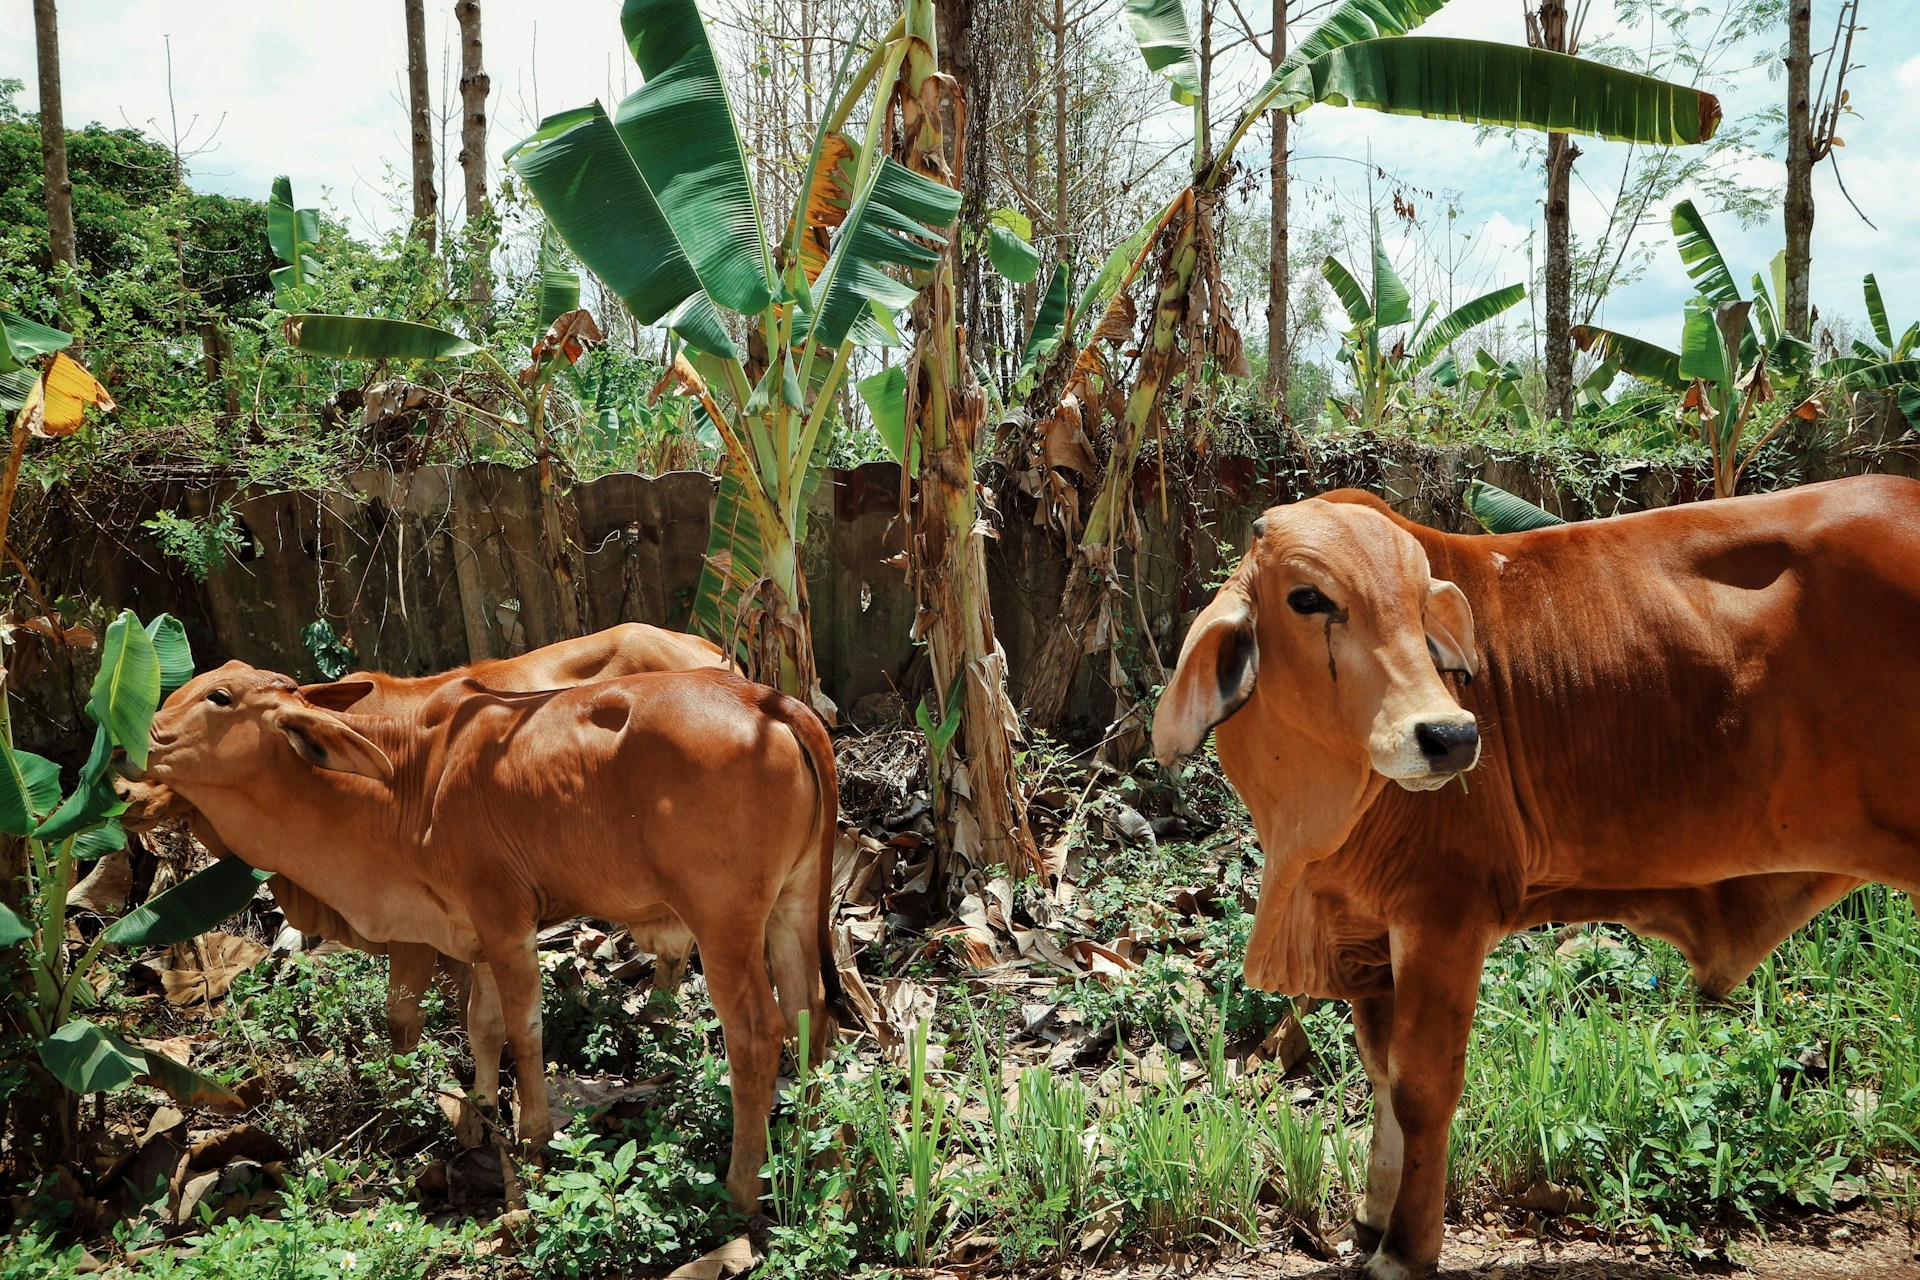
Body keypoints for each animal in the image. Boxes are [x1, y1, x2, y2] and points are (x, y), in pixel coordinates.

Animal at [1152, 479, 1920, 1280]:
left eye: (1420, 602)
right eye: (1307, 598)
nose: (1451, 736)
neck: (1310, 821)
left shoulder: (1443, 916)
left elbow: (1422, 1089)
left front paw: (1405, 1248)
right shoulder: (1367, 935)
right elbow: (1382, 1074)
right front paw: (1372, 1217)